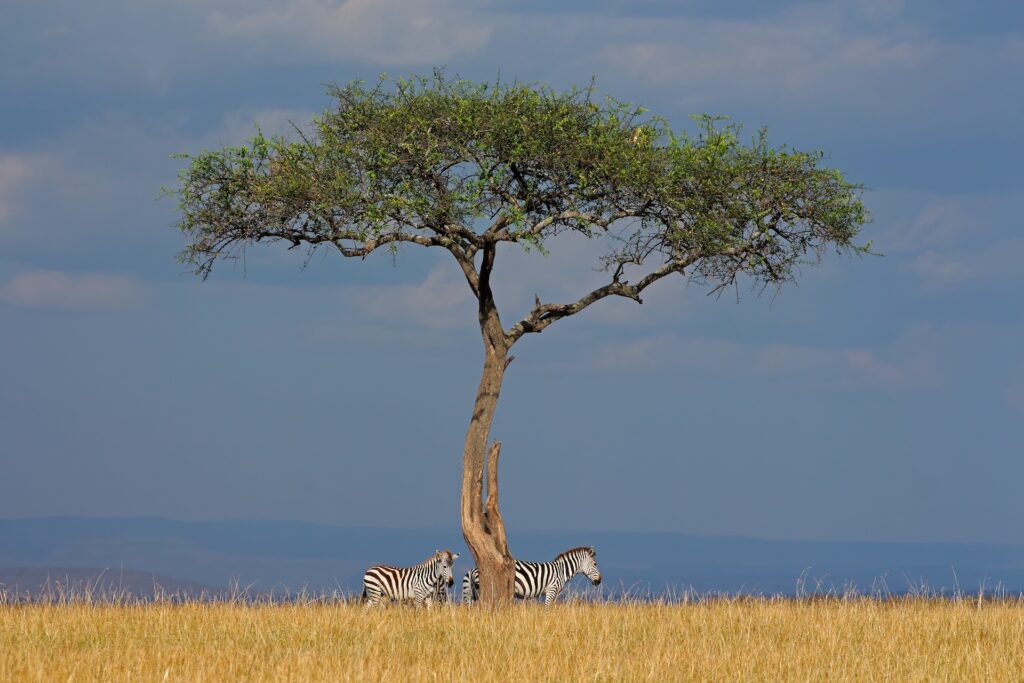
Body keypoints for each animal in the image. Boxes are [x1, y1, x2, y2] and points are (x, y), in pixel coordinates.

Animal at [462, 546, 601, 606]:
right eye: (595, 564)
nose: (600, 580)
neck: (562, 571)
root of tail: (474, 569)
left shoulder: (555, 593)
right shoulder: (551, 589)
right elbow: (547, 608)